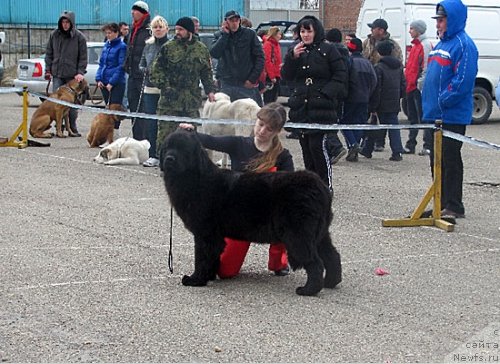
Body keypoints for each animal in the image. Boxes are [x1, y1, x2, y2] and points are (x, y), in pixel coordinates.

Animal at [159, 131, 340, 296]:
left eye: (184, 149)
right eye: (167, 148)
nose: (169, 159)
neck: (195, 178)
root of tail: (321, 187)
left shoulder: (205, 233)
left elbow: (202, 256)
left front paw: (196, 279)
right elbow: (211, 257)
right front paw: (208, 276)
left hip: (298, 235)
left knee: (315, 262)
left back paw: (308, 290)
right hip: (319, 233)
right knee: (332, 255)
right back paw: (330, 283)